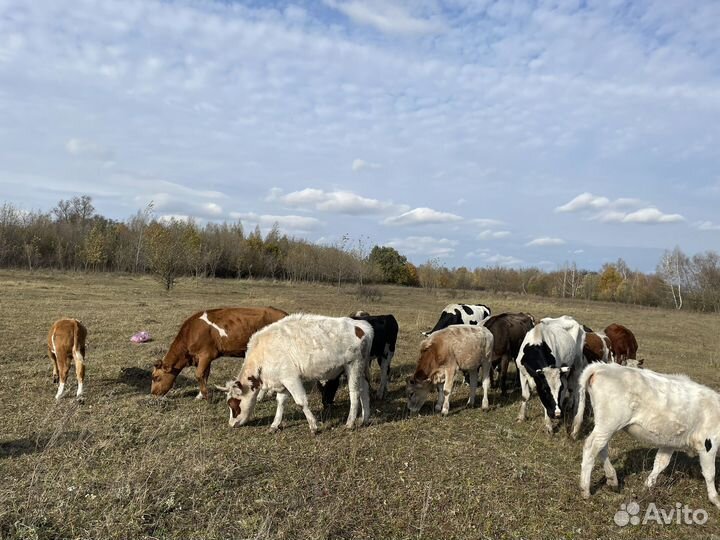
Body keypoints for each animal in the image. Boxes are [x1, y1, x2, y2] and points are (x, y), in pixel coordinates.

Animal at [151, 307, 287, 400]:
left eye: (156, 377)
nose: (153, 393)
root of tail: (283, 313)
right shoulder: (203, 358)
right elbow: (205, 375)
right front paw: (199, 395)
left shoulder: (206, 355)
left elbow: (199, 374)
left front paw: (206, 396)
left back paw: (261, 396)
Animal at [216, 314, 373, 434]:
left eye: (233, 404)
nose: (231, 424)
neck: (263, 352)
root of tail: (360, 325)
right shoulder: (282, 381)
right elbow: (280, 402)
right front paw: (274, 425)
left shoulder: (291, 378)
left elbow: (301, 402)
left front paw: (313, 426)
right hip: (361, 368)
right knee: (364, 389)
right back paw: (364, 419)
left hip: (353, 365)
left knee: (355, 393)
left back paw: (350, 422)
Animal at [572, 362, 720, 508]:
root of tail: (601, 366)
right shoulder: (708, 443)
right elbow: (710, 473)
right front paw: (715, 499)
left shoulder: (670, 441)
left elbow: (661, 463)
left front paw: (648, 484)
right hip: (609, 423)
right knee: (591, 447)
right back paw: (585, 490)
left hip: (606, 425)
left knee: (602, 448)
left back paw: (612, 479)